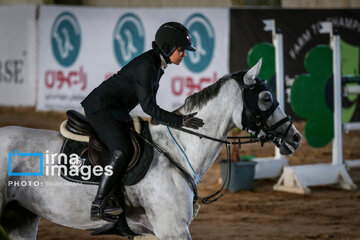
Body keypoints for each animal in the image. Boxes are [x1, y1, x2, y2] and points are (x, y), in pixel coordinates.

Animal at [0, 58, 300, 240]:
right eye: (266, 98)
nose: (295, 137)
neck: (178, 151)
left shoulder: (153, 232)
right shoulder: (172, 229)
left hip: (20, 219)